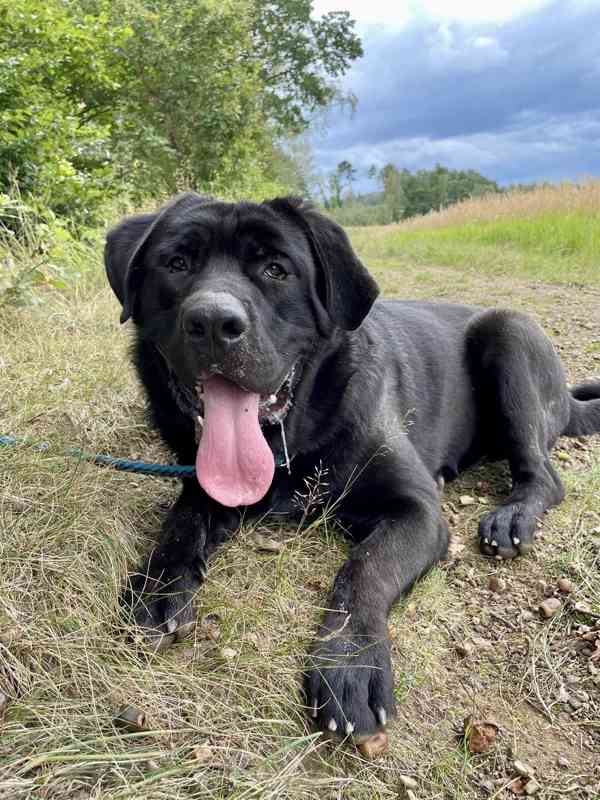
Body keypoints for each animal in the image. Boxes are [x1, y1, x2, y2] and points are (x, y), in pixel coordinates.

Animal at [106, 192, 600, 736]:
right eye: (177, 264)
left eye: (276, 269)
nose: (214, 322)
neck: (294, 441)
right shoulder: (203, 483)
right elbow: (182, 523)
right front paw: (160, 586)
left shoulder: (417, 511)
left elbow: (364, 568)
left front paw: (350, 660)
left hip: (508, 335)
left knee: (545, 476)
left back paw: (512, 515)